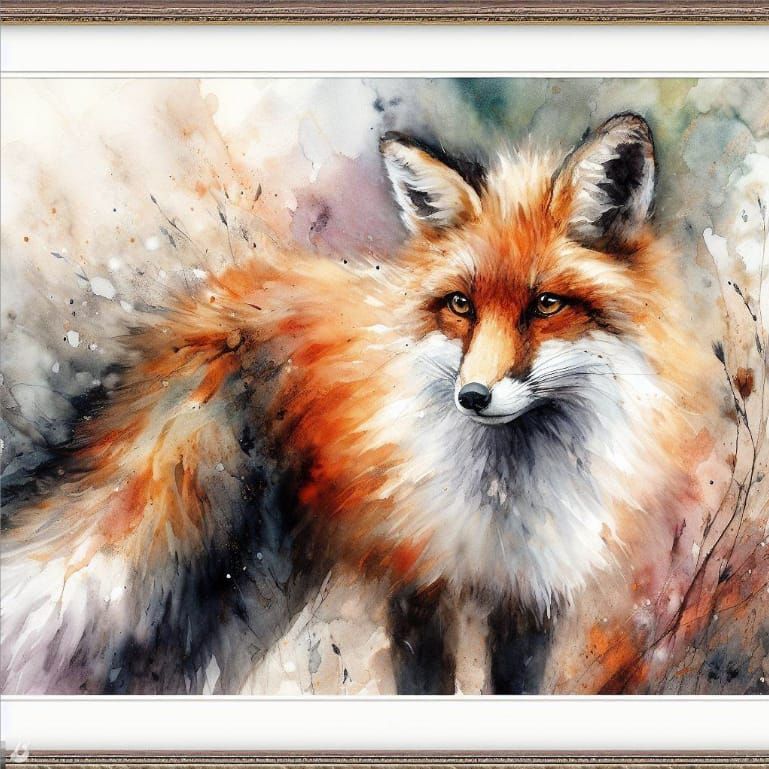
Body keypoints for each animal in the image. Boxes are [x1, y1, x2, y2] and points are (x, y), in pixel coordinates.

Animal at [1, 112, 704, 694]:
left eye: (546, 304)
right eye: (461, 304)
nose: (473, 396)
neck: (505, 497)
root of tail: (210, 307)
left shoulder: (530, 599)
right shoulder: (417, 586)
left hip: (252, 598)